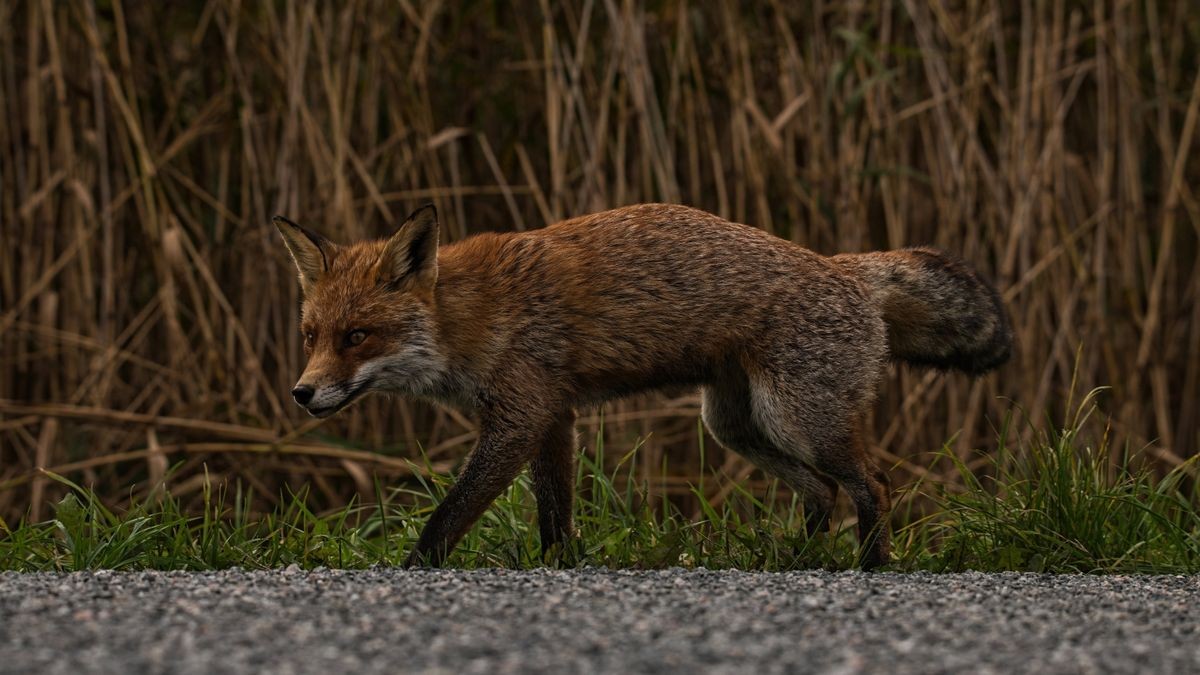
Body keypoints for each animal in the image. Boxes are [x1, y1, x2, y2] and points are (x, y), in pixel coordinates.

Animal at [274, 200, 1012, 566]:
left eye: (357, 337)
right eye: (311, 336)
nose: (302, 394)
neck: (470, 316)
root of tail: (846, 267)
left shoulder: (520, 415)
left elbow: (448, 514)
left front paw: (413, 569)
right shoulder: (555, 416)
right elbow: (555, 512)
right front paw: (560, 566)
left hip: (801, 420)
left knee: (874, 485)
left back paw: (870, 569)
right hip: (737, 425)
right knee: (821, 491)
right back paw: (798, 561)